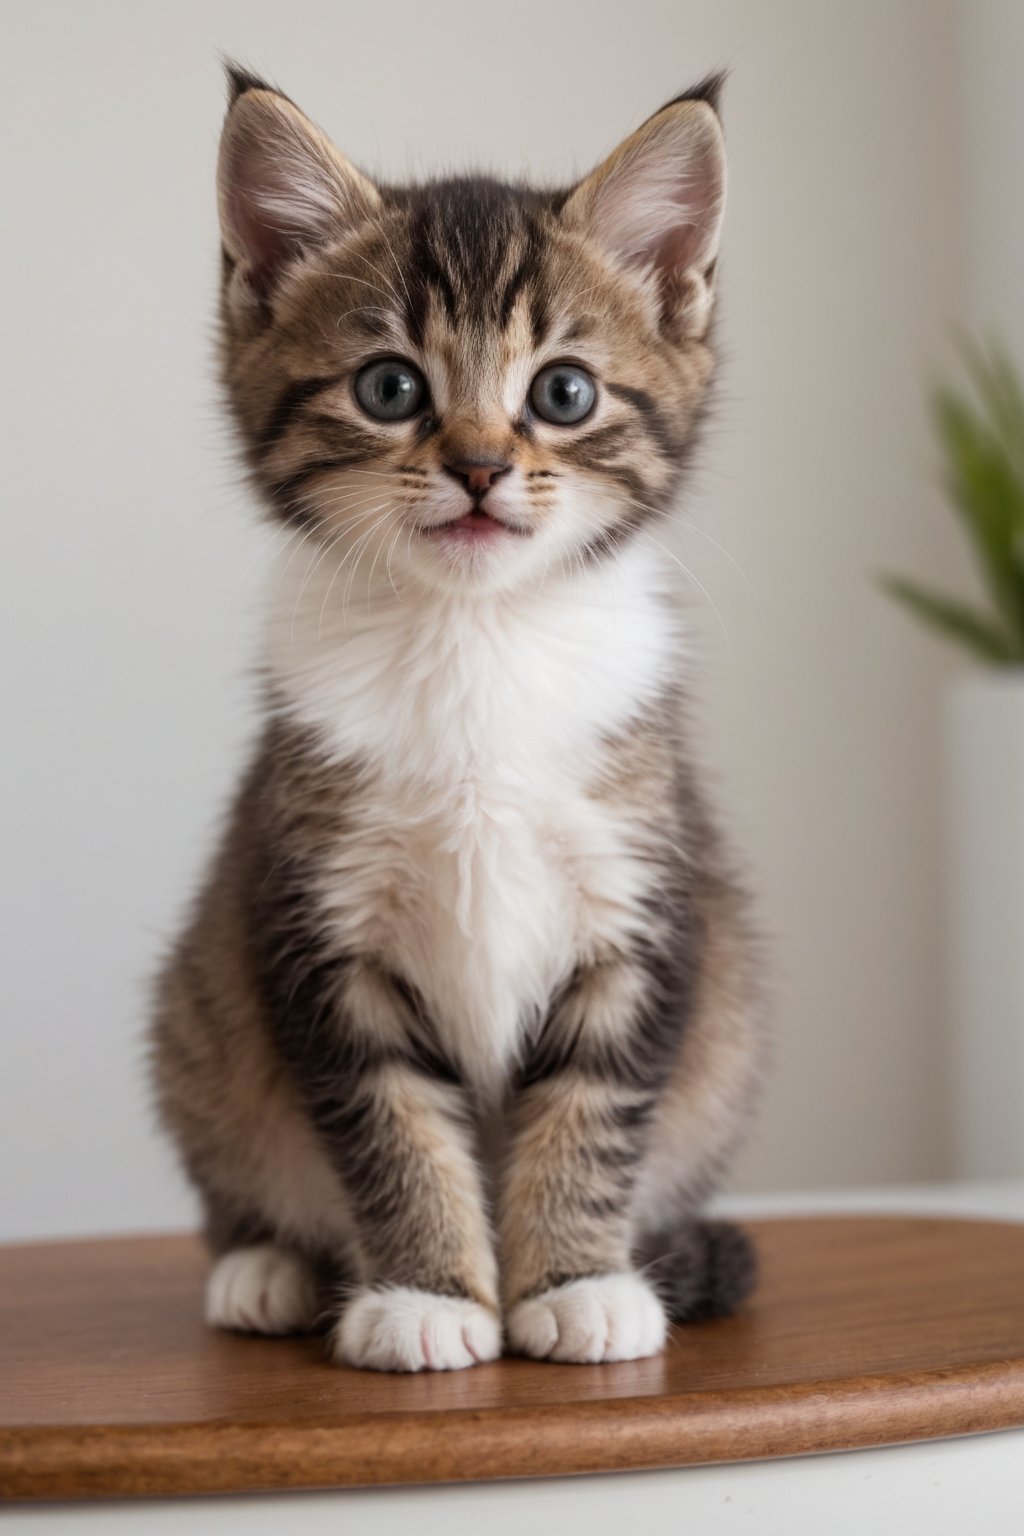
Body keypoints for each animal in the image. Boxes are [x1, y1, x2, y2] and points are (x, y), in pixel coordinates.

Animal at [150, 66, 767, 1376]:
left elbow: (593, 1102)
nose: (480, 467)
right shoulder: (313, 917)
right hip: (196, 1021)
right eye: (389, 387)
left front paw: (577, 1281)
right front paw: (428, 1295)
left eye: (562, 392)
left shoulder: (643, 899)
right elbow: (388, 1124)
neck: (472, 640)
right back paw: (267, 1265)